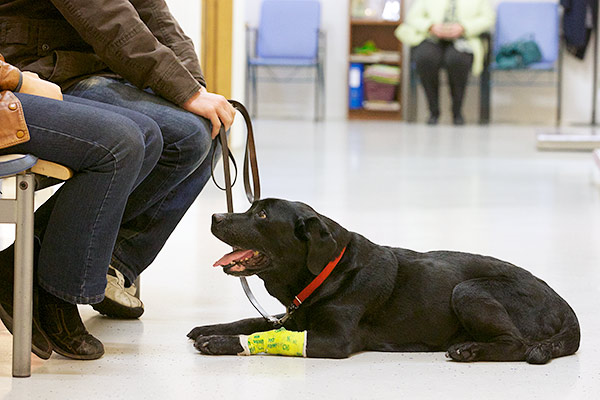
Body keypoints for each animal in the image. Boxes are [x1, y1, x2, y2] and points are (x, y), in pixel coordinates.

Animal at [189, 198, 580, 364]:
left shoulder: (334, 340)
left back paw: (470, 351)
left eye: (262, 215)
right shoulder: (292, 317)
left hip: (469, 290)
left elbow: (266, 338)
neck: (332, 271)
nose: (215, 216)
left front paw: (219, 343)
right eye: (250, 207)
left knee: (516, 344)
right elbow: (252, 321)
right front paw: (209, 329)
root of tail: (563, 304)